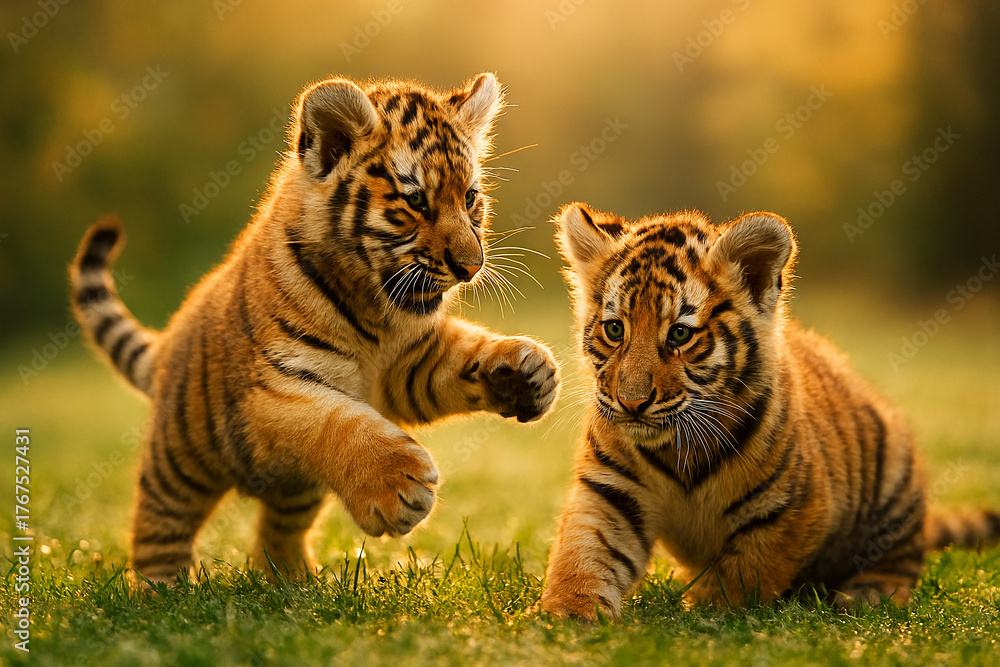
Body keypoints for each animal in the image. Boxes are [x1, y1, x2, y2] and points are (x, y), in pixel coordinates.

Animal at [69, 72, 560, 585]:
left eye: (469, 198)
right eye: (415, 201)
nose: (471, 266)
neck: (377, 311)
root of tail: (166, 346)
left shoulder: (409, 367)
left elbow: (464, 357)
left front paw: (527, 372)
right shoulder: (273, 389)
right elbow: (335, 421)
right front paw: (400, 485)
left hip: (295, 490)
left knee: (278, 531)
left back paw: (293, 584)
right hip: (178, 463)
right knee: (158, 526)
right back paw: (164, 592)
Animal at [541, 203, 1000, 620]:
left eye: (680, 334)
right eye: (615, 329)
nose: (631, 402)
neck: (678, 448)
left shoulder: (789, 508)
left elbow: (747, 572)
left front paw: (707, 610)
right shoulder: (610, 491)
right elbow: (584, 553)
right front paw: (567, 616)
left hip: (896, 486)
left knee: (899, 565)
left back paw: (867, 596)